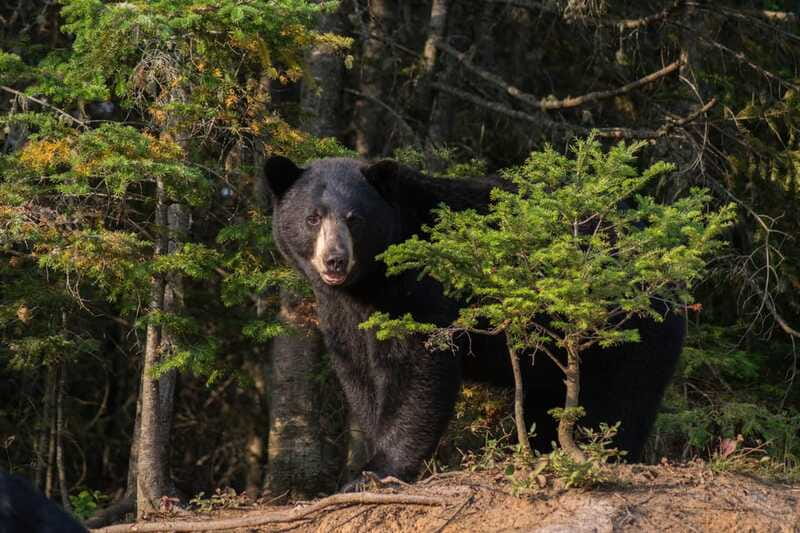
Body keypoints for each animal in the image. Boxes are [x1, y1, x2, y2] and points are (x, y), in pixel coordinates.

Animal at [264, 156, 685, 490]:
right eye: (312, 218)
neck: (368, 283)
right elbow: (359, 373)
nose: (335, 259)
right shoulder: (342, 313)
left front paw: (376, 471)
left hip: (627, 330)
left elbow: (417, 369)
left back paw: (605, 452)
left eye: (355, 219)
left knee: (622, 398)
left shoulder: (419, 287)